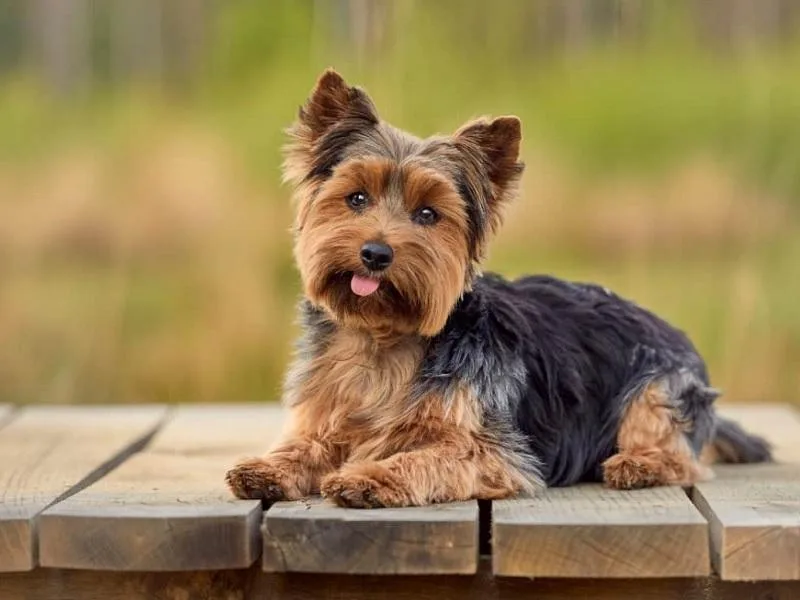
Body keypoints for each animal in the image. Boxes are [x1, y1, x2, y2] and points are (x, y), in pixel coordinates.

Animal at [223, 71, 768, 510]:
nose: (375, 253)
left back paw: (637, 464)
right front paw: (268, 467)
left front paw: (371, 476)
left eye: (428, 214)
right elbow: (309, 443)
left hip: (660, 389)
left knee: (681, 454)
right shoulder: (327, 412)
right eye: (356, 198)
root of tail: (674, 330)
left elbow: (426, 456)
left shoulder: (495, 451)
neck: (383, 337)